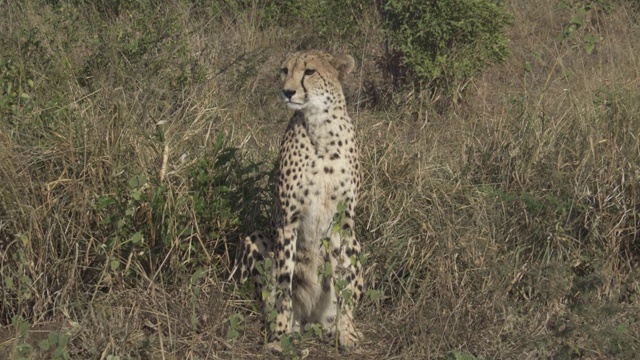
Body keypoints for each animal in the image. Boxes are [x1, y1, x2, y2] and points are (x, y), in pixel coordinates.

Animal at [239, 50, 362, 352]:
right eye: (285, 70)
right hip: (254, 237)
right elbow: (285, 281)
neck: (322, 128)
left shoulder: (345, 222)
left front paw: (347, 332)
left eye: (309, 71)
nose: (287, 91)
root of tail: (310, 318)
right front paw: (279, 336)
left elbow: (345, 280)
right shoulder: (288, 219)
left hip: (357, 242)